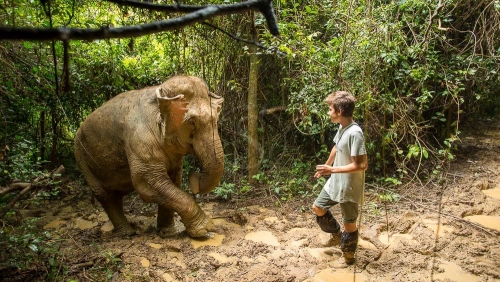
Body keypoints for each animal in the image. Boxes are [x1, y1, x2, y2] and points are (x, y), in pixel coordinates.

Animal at [73, 75, 224, 238]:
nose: (195, 176)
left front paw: (167, 232)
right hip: (81, 157)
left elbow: (174, 178)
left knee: (115, 195)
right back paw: (127, 233)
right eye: (192, 122)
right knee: (105, 195)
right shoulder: (139, 140)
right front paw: (204, 228)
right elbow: (147, 183)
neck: (157, 93)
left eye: (216, 120)